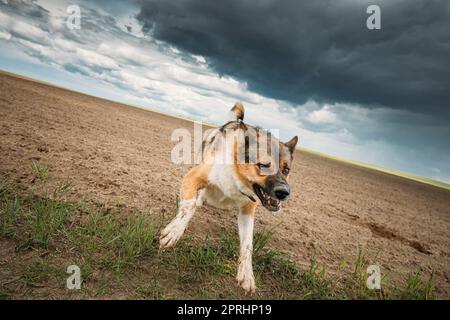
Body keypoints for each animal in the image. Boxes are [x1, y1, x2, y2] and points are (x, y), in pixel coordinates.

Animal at [160, 102, 298, 292]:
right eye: (263, 165)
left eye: (286, 169)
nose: (284, 193)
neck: (236, 175)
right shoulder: (193, 177)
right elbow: (188, 207)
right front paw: (174, 232)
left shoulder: (248, 210)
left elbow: (248, 244)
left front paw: (246, 274)